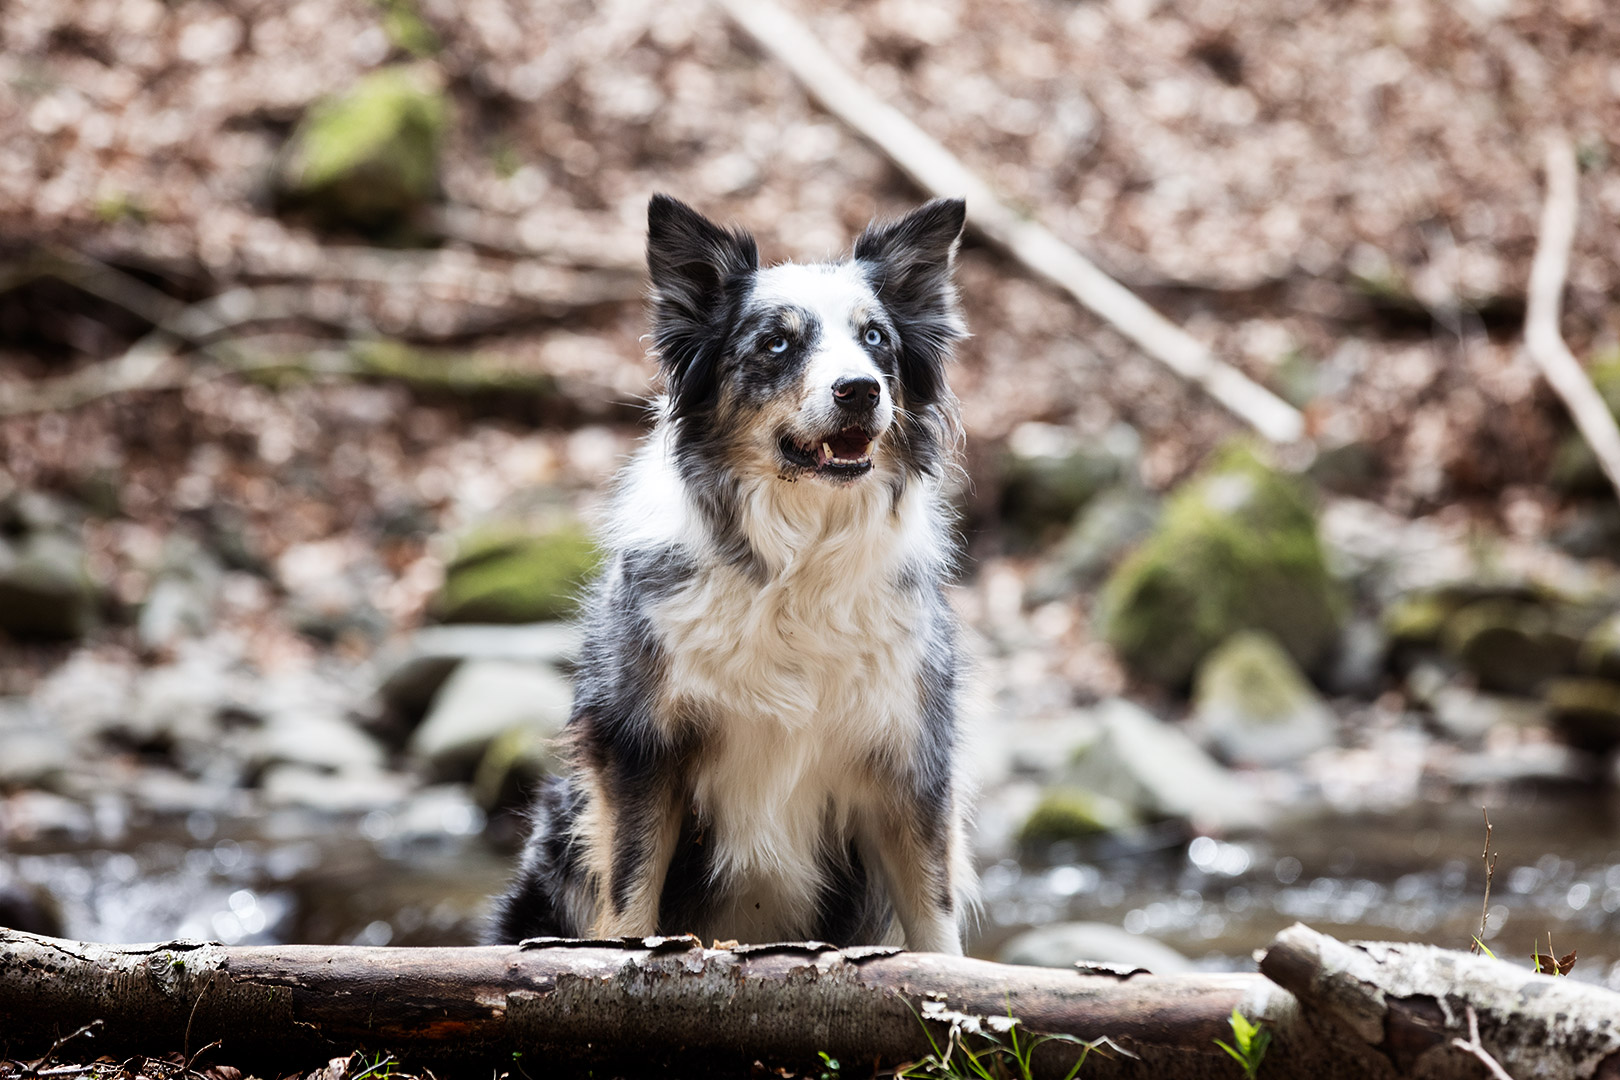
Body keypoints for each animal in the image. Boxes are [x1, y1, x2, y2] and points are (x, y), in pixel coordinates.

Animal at [486, 194, 972, 952]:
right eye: (775, 343)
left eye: (876, 339)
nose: (860, 391)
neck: (795, 559)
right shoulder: (641, 750)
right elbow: (629, 893)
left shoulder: (909, 760)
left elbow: (934, 921)